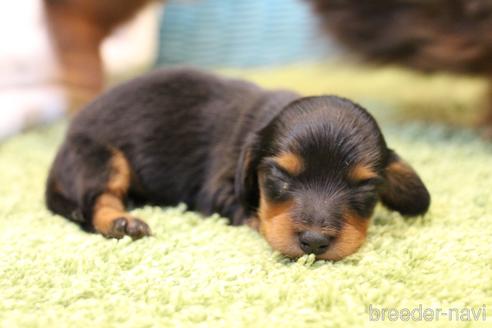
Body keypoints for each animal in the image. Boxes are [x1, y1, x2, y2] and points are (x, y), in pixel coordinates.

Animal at [46, 68, 430, 260]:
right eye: (280, 174)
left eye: (364, 186)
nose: (315, 242)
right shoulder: (219, 189)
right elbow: (252, 211)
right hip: (101, 157)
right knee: (96, 200)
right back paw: (122, 222)